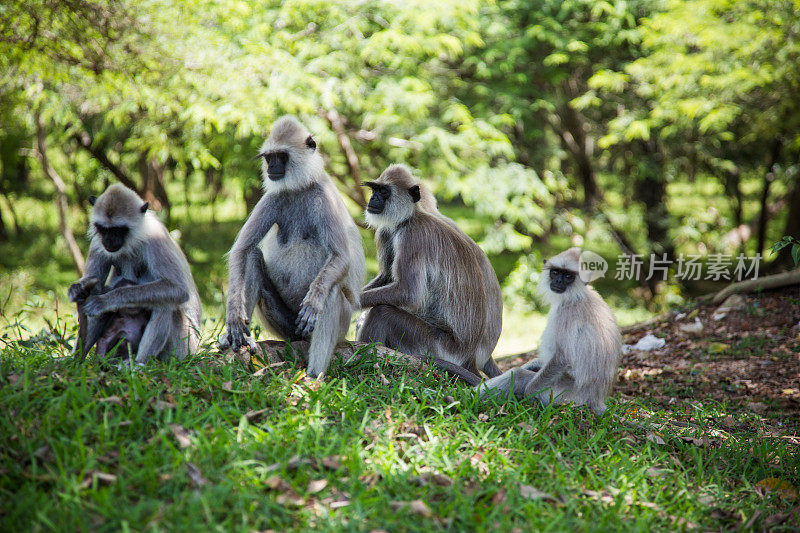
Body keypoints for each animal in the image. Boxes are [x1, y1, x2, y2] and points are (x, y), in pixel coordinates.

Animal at [68, 184, 203, 366]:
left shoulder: (156, 238)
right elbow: (93, 280)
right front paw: (77, 289)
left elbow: (178, 289)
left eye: (118, 230)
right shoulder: (98, 241)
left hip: (184, 346)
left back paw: (140, 363)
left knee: (166, 305)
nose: (109, 241)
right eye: (103, 229)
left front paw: (105, 301)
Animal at [220, 115, 368, 378]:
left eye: (281, 156)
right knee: (253, 257)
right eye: (269, 158)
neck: (300, 187)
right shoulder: (273, 196)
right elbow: (241, 251)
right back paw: (241, 341)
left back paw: (313, 377)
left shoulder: (324, 197)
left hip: (341, 326)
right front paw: (234, 317)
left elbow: (340, 258)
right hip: (286, 328)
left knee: (331, 292)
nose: (271, 168)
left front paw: (313, 302)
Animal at [354, 163, 500, 382]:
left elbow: (407, 293)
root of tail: (469, 358)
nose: (373, 199)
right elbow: (387, 277)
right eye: (375, 190)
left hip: (435, 346)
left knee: (382, 312)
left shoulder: (411, 237)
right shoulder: (388, 232)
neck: (411, 218)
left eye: (384, 192)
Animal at [478, 247, 620, 414]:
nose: (558, 281)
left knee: (517, 375)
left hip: (565, 395)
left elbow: (562, 358)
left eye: (568, 276)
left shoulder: (567, 314)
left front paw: (529, 392)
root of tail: (595, 399)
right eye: (555, 272)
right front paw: (533, 364)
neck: (576, 296)